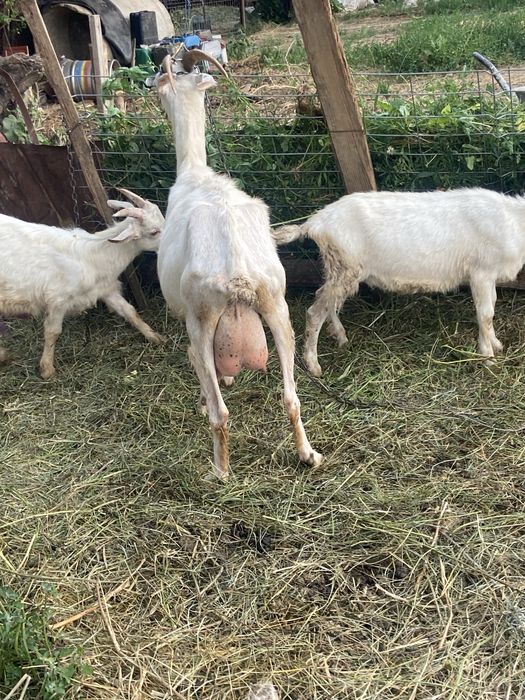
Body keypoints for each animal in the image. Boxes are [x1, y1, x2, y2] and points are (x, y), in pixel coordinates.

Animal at [0, 189, 165, 378]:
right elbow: (52, 332)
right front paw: (47, 370)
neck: (93, 256)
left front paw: (155, 337)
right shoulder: (58, 300)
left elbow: (130, 311)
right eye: (154, 232)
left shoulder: (105, 289)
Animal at [155, 49, 322, 479]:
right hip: (277, 307)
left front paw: (203, 400)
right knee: (291, 397)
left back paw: (219, 471)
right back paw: (308, 454)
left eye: (166, 78)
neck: (196, 172)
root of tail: (237, 274)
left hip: (200, 319)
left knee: (220, 412)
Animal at [273, 188, 525, 375]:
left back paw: (340, 336)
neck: (513, 222)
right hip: (345, 267)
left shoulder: (490, 275)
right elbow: (486, 314)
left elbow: (492, 307)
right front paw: (488, 357)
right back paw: (313, 364)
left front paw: (495, 344)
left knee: (328, 302)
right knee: (315, 312)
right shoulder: (481, 272)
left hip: (340, 269)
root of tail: (315, 222)